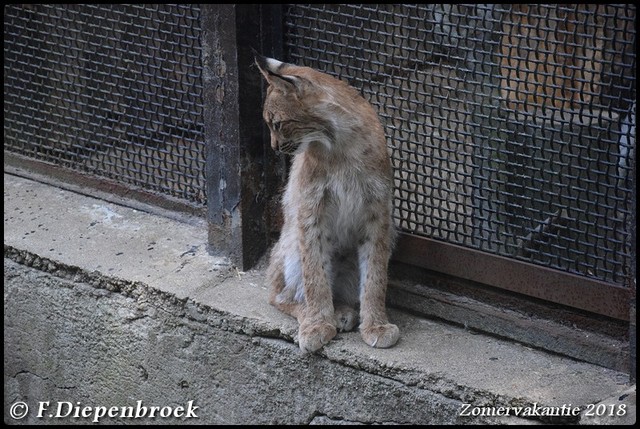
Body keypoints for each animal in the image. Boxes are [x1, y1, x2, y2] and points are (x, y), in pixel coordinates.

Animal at [256, 55, 400, 352]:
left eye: (277, 124)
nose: (274, 147)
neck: (339, 143)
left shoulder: (378, 211)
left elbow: (375, 274)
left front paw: (376, 325)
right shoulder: (311, 208)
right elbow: (314, 272)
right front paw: (317, 324)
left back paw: (344, 311)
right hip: (289, 241)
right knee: (276, 295)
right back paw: (321, 314)